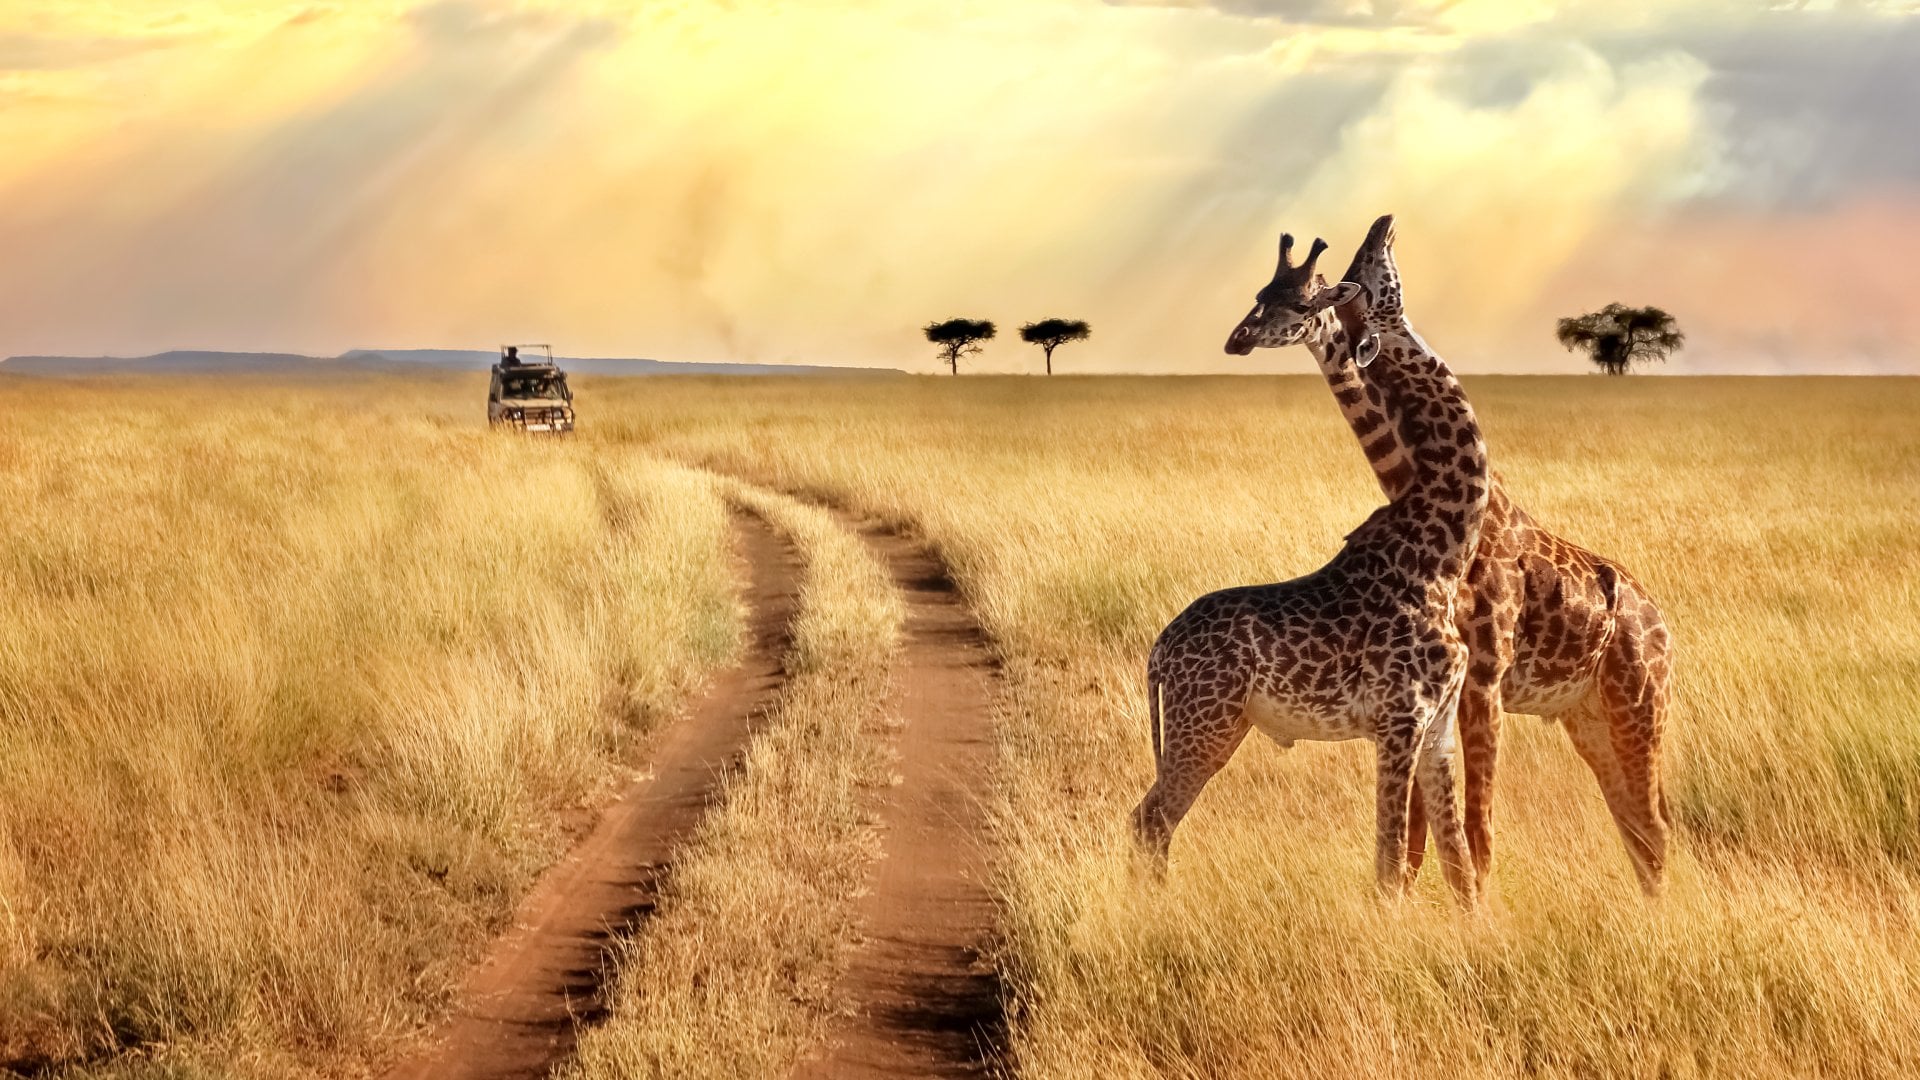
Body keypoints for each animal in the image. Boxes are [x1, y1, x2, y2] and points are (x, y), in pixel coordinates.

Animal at [1130, 233, 1489, 909]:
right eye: (1265, 296)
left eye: (1297, 299)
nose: (1237, 337)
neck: (1444, 553)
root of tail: (1158, 651)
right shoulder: (1400, 719)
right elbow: (1389, 863)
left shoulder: (1439, 728)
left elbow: (1459, 866)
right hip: (1204, 723)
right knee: (1150, 820)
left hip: (1216, 726)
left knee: (1150, 819)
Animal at [1323, 214, 1675, 896]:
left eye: (1363, 268)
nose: (1382, 224)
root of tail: (1663, 624)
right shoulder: (1449, 684)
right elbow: (1426, 830)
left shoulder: (1481, 678)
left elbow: (1472, 827)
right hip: (1588, 717)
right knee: (1638, 826)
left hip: (1640, 707)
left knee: (1653, 826)